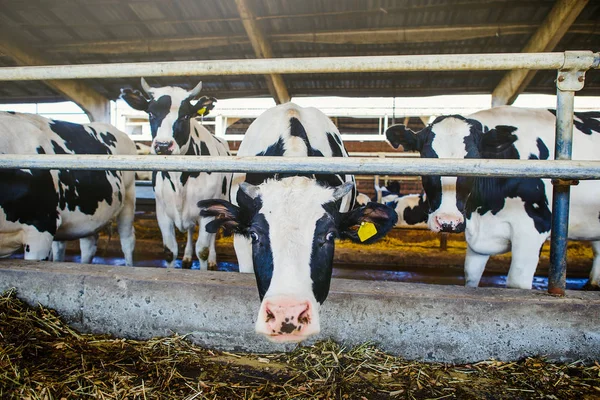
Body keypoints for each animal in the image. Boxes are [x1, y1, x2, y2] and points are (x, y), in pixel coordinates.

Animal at [120, 78, 230, 270]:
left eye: (185, 116)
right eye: (151, 113)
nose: (163, 145)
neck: (179, 179)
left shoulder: (207, 211)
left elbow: (202, 250)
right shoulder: (162, 211)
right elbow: (170, 251)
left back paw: (212, 260)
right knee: (190, 229)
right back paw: (186, 257)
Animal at [386, 104, 600, 290]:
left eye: (474, 160)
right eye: (426, 157)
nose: (448, 221)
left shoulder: (534, 228)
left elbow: (516, 282)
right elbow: (471, 277)